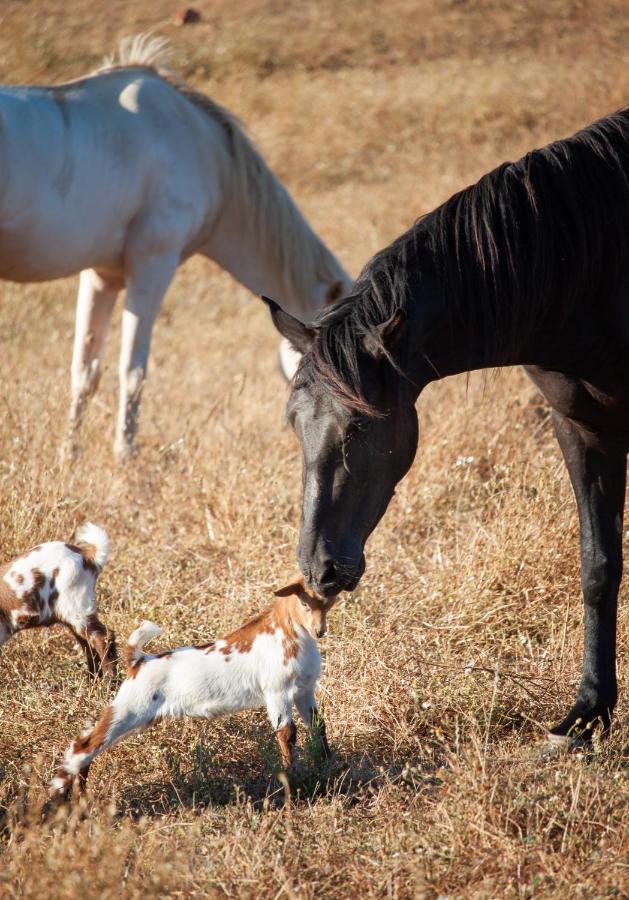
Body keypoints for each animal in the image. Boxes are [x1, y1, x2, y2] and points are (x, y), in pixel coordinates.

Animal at [0, 35, 350, 458]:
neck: (207, 153)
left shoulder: (101, 276)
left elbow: (85, 370)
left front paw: (70, 453)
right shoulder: (152, 266)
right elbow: (133, 369)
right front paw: (125, 455)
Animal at [262, 107, 629, 744]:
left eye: (358, 428)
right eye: (293, 423)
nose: (318, 569)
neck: (586, 264)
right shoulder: (581, 427)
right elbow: (599, 566)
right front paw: (587, 713)